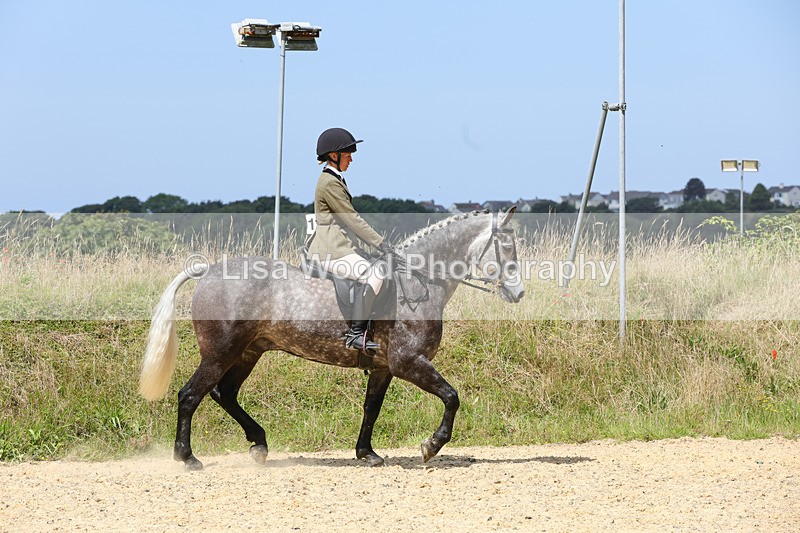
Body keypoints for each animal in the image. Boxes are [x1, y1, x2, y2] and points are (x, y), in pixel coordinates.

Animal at [139, 208, 524, 470]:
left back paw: (259, 444)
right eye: (506, 247)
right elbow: (451, 396)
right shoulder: (408, 362)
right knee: (190, 395)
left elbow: (372, 407)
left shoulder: (383, 367)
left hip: (249, 352)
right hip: (220, 352)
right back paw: (187, 458)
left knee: (224, 393)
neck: (420, 279)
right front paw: (432, 445)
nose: (518, 293)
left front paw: (366, 453)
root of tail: (209, 271)